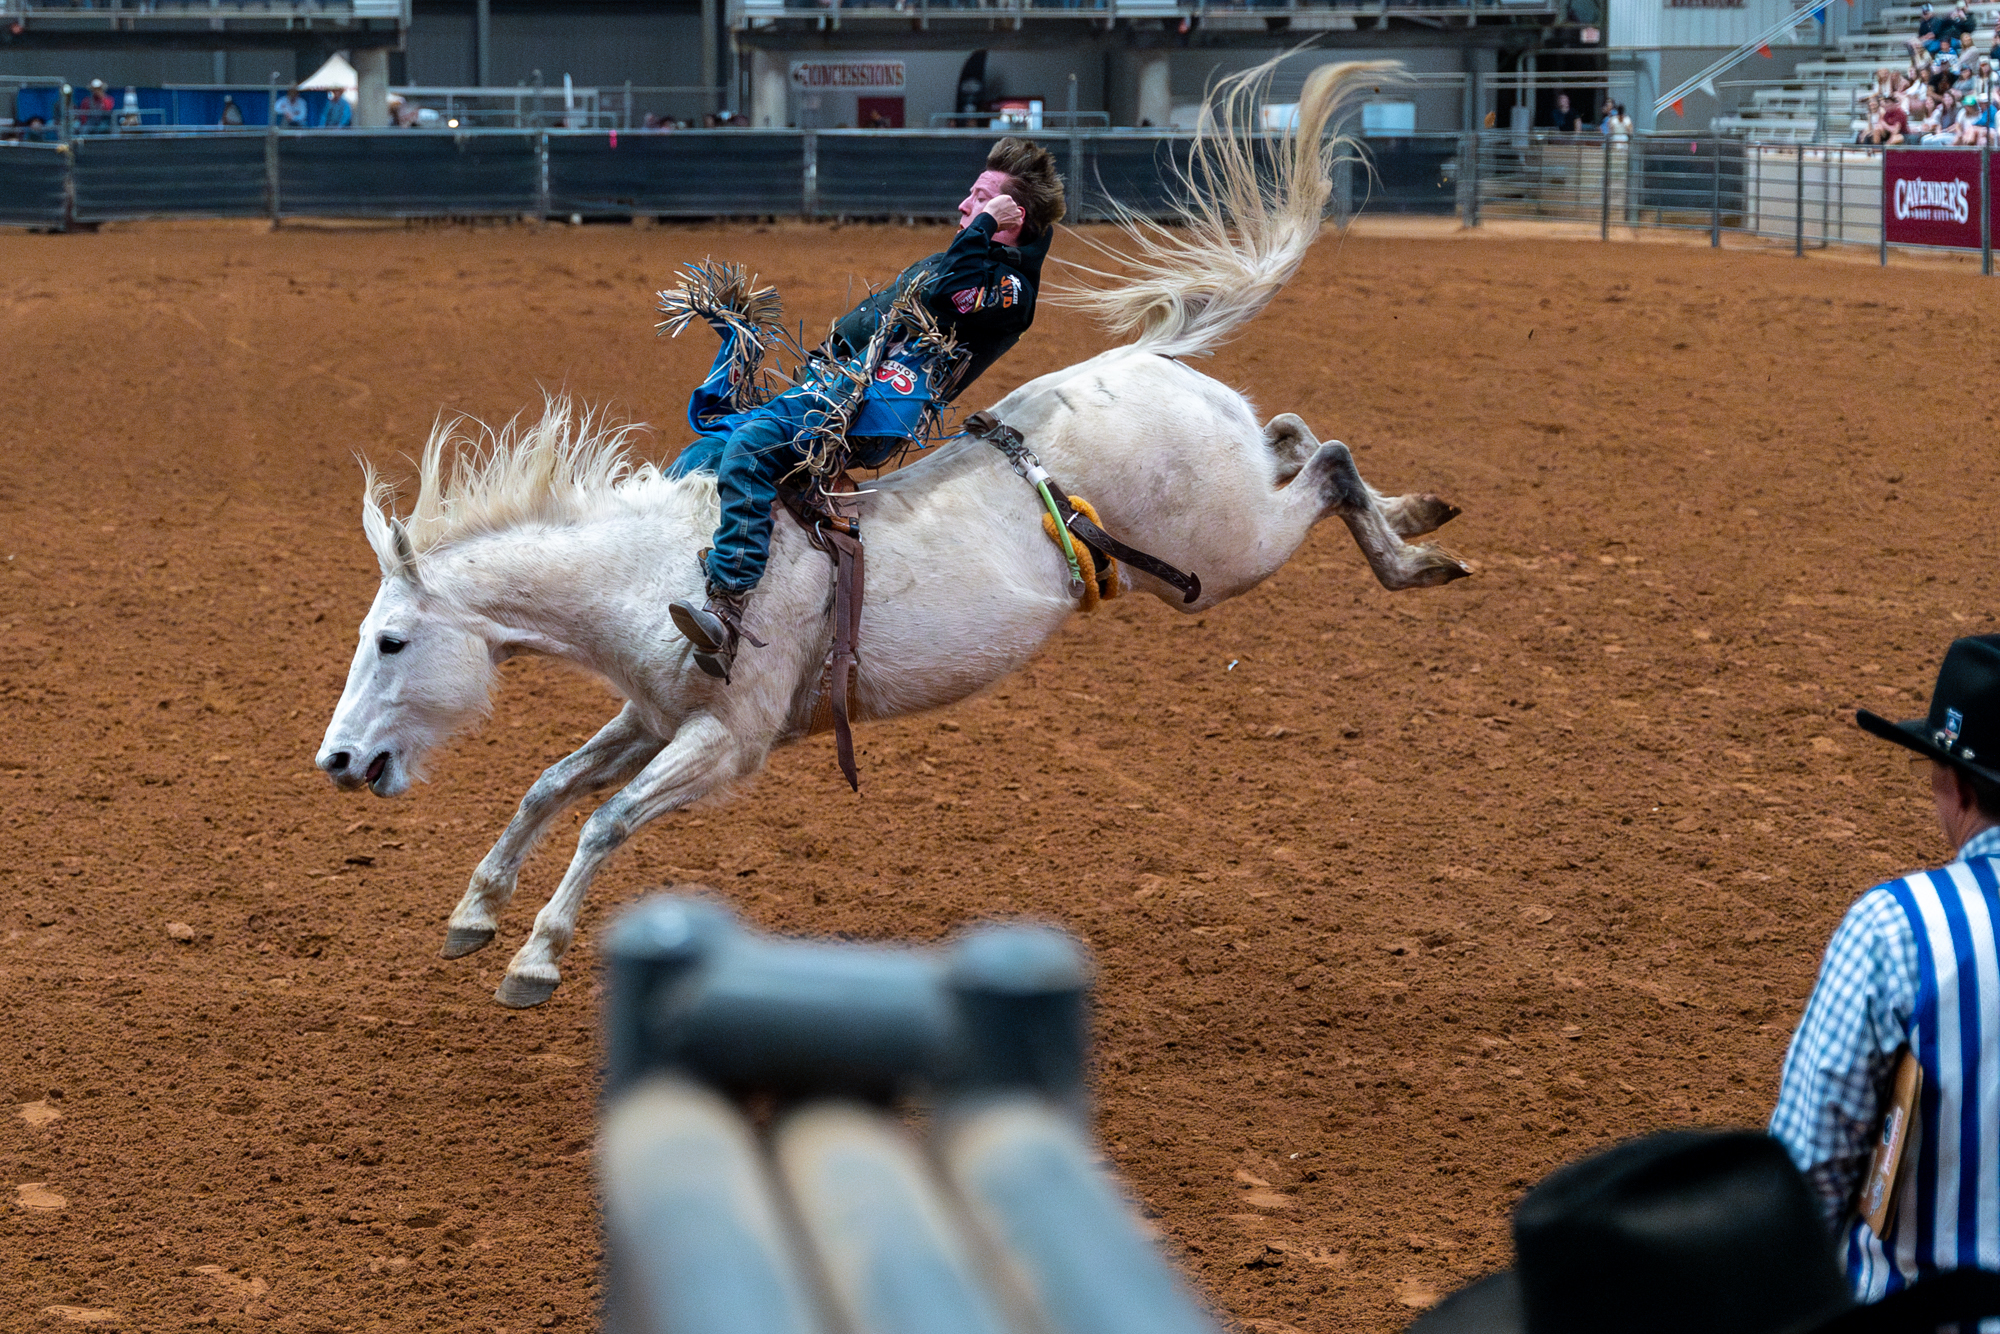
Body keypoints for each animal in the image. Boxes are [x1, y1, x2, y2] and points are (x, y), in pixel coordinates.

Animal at [316, 57, 1472, 1008]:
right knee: (1295, 435)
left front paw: (536, 955)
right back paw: (1413, 518)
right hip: (1219, 520)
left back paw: (1418, 552)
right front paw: (476, 908)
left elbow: (605, 819)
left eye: (390, 641)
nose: (336, 760)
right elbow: (553, 783)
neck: (653, 571)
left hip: (1225, 555)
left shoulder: (724, 741)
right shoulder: (653, 715)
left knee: (1326, 463)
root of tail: (1148, 360)